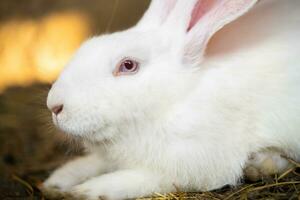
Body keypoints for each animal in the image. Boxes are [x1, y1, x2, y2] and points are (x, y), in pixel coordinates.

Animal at [42, 0, 300, 199]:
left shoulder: (194, 165)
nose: (54, 105)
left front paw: (86, 191)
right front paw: (58, 181)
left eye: (128, 65)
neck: (173, 101)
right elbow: (93, 163)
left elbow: (142, 179)